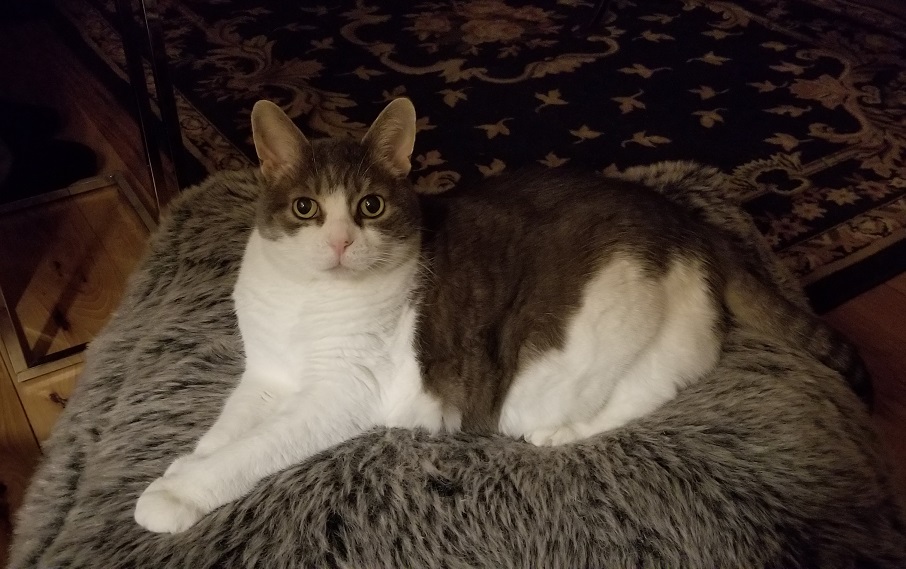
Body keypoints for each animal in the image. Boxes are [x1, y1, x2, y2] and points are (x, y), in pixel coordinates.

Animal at [134, 97, 868, 532]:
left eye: (371, 206)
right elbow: (230, 426)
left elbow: (255, 447)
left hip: (585, 362)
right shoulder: (267, 374)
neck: (305, 301)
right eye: (305, 209)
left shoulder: (339, 393)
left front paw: (179, 493)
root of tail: (685, 219)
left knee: (645, 390)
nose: (341, 243)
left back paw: (557, 433)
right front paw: (184, 463)